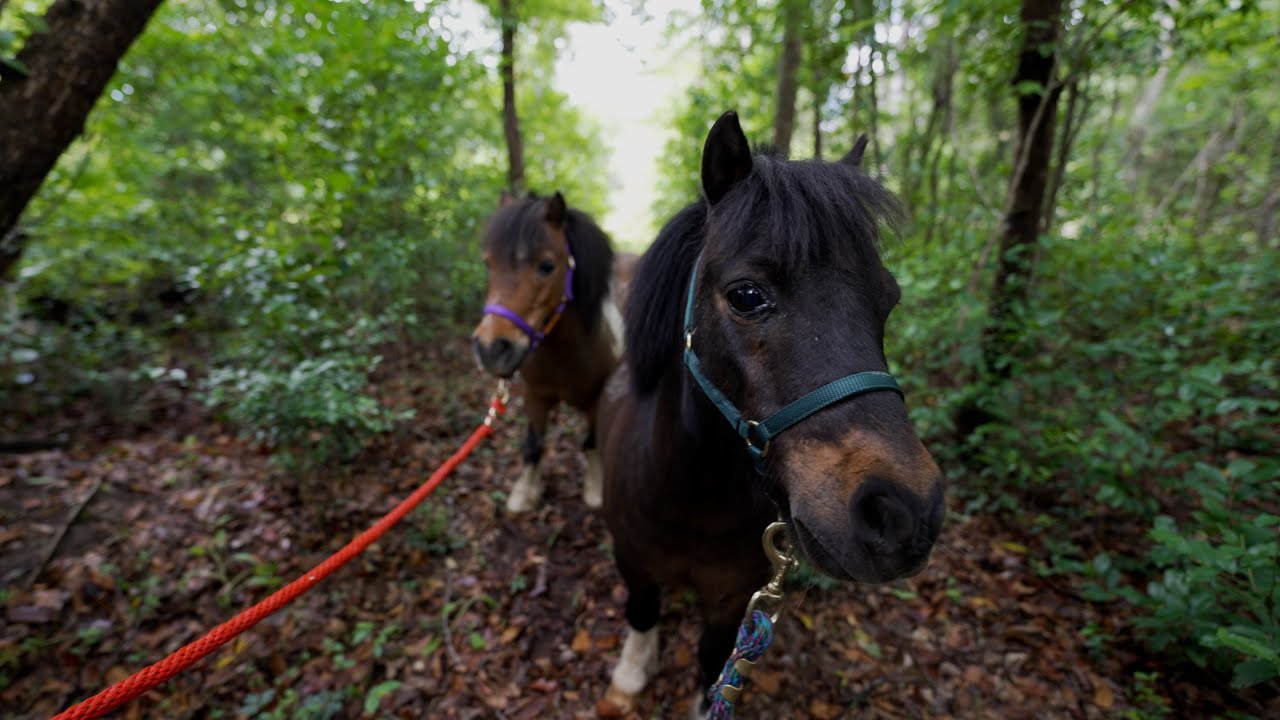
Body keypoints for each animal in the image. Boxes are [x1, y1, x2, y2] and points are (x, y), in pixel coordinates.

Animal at [471, 191, 636, 513]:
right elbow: (533, 446)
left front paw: (594, 488)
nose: (491, 349)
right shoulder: (535, 395)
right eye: (488, 264)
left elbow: (590, 441)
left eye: (547, 266)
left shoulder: (596, 399)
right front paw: (524, 493)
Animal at [598, 112, 946, 716]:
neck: (689, 496)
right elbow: (642, 611)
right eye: (746, 295)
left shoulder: (732, 595)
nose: (903, 514)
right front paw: (630, 675)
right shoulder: (632, 559)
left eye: (889, 299)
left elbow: (715, 658)